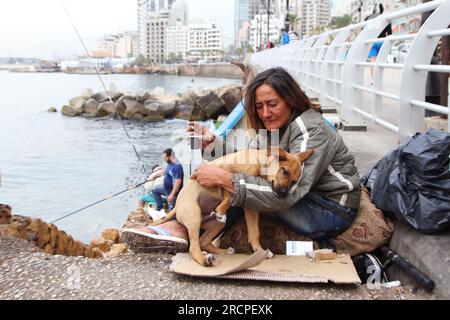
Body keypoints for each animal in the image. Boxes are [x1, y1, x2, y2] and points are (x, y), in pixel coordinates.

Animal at [149, 148, 312, 268]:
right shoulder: (224, 173)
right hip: (193, 215)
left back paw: (224, 250)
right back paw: (205, 260)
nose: (284, 195)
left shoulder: (251, 208)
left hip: (216, 224)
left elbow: (254, 232)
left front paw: (259, 250)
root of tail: (176, 207)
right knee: (193, 247)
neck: (258, 162)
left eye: (294, 182)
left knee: (204, 242)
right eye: (284, 171)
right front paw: (222, 209)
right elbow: (228, 194)